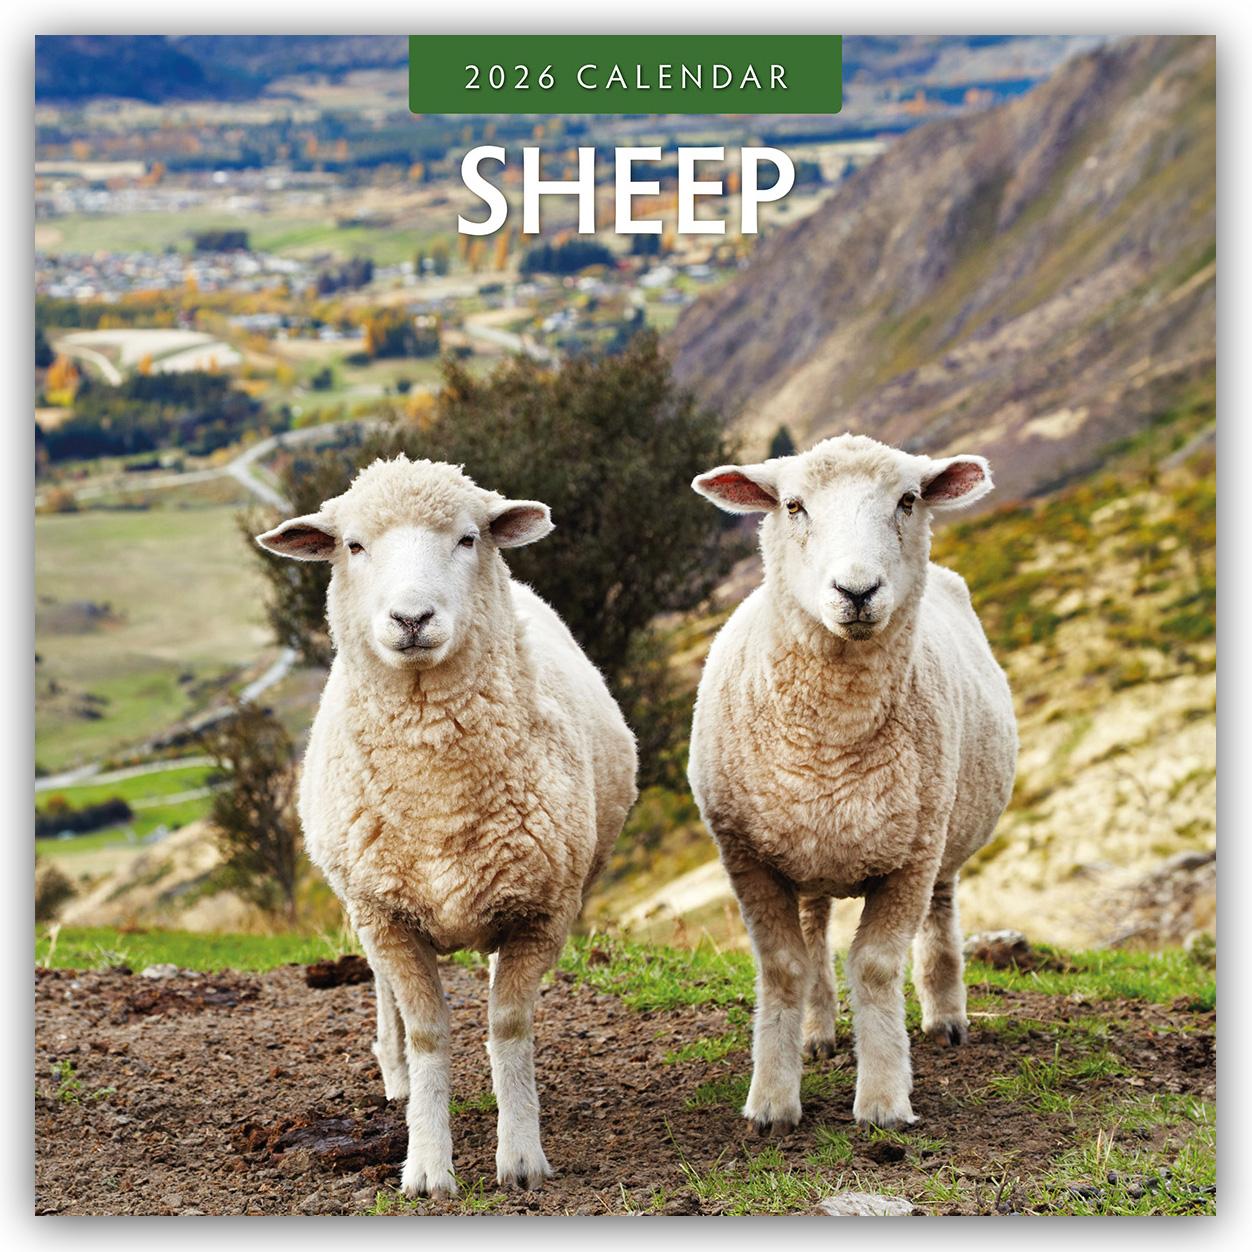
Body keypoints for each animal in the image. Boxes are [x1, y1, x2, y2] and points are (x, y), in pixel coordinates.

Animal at [257, 455, 638, 1198]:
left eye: (467, 538)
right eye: (353, 545)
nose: (411, 618)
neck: (439, 798)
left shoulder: (542, 910)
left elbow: (509, 1023)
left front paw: (520, 1155)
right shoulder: (385, 916)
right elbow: (428, 1031)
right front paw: (428, 1164)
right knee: (385, 1000)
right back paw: (397, 1076)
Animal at [687, 433, 1017, 1132]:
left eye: (909, 499)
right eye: (792, 505)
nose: (857, 590)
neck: (833, 745)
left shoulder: (911, 858)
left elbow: (875, 966)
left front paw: (885, 1099)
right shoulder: (748, 857)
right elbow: (784, 966)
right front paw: (772, 1100)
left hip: (944, 832)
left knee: (941, 915)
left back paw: (946, 1018)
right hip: (808, 848)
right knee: (814, 934)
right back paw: (817, 1033)